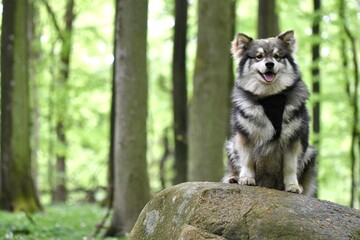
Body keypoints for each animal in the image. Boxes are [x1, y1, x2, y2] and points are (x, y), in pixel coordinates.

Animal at [224, 29, 316, 197]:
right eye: (259, 56)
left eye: (277, 56)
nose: (269, 64)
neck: (270, 97)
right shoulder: (244, 136)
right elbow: (247, 159)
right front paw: (246, 178)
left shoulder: (292, 140)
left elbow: (290, 166)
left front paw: (292, 185)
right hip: (231, 146)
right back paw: (234, 178)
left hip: (310, 153)